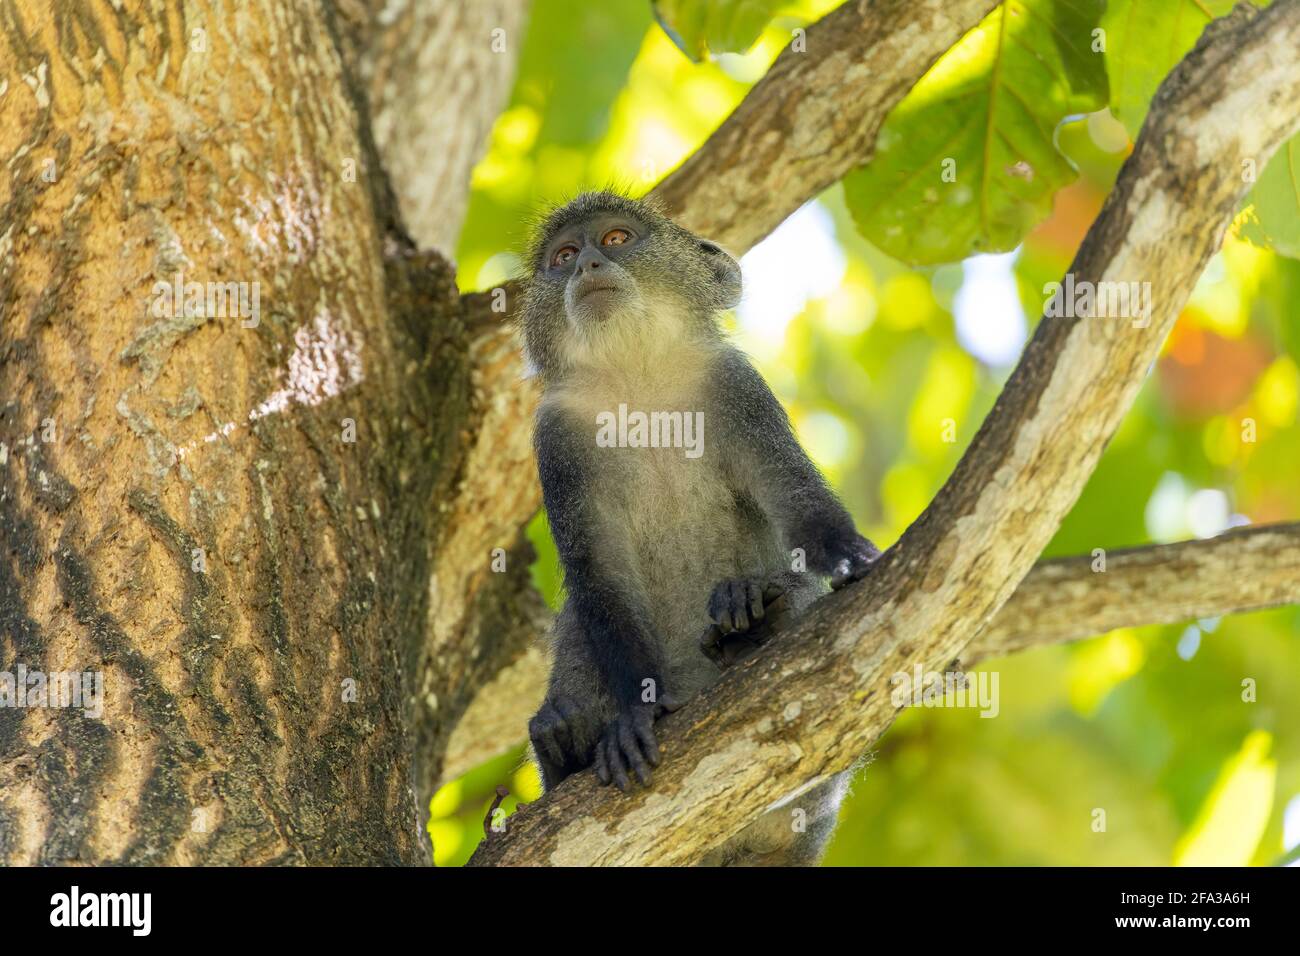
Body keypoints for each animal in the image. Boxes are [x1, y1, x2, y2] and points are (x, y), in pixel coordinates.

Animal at [522, 191, 878, 863]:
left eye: (615, 239)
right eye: (562, 255)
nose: (586, 266)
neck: (638, 382)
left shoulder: (735, 385)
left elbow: (795, 498)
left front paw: (846, 555)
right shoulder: (557, 438)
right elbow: (599, 577)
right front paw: (635, 714)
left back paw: (752, 626)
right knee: (580, 621)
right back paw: (563, 751)